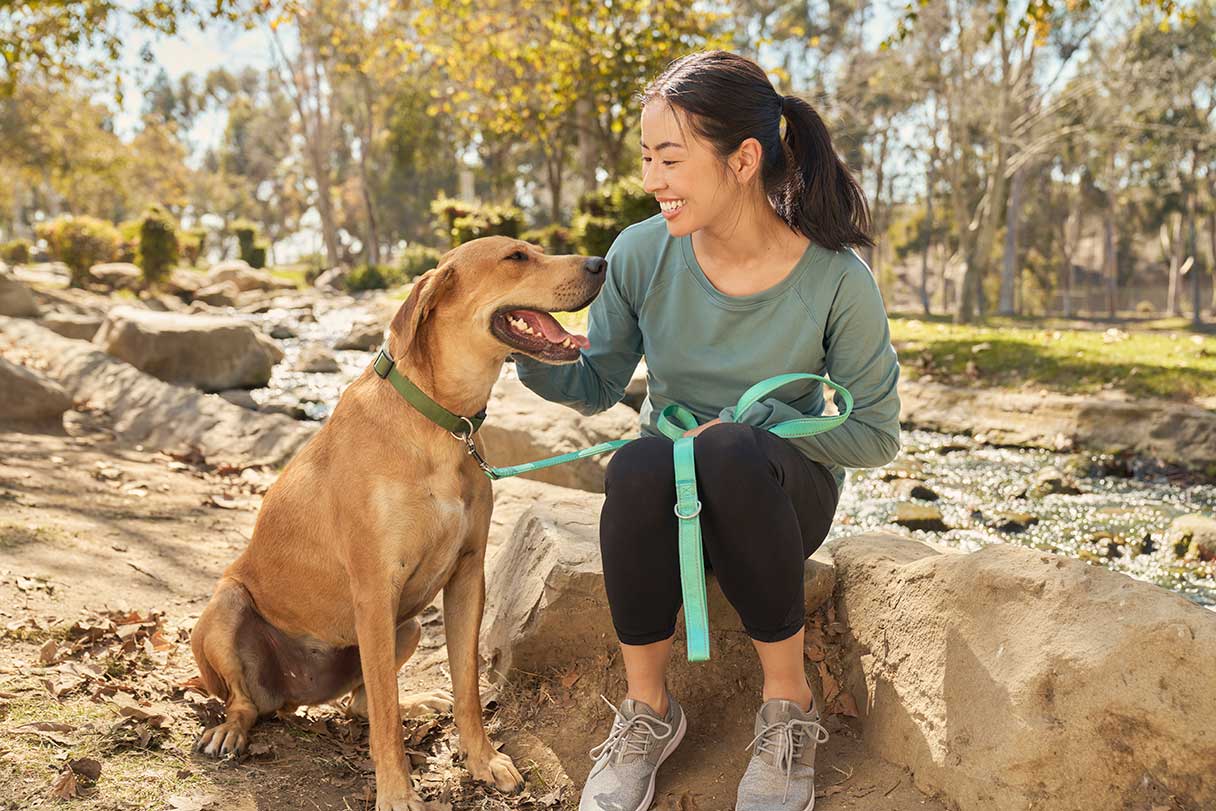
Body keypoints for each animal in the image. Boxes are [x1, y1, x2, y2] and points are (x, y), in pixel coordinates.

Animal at [188, 238, 603, 811]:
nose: (601, 263)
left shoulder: (467, 576)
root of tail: (297, 694)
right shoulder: (374, 589)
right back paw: (231, 730)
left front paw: (481, 760)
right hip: (226, 609)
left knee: (358, 703)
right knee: (248, 702)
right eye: (516, 257)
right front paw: (397, 793)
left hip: (406, 626)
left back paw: (420, 702)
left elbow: (466, 687)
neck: (441, 423)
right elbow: (385, 717)